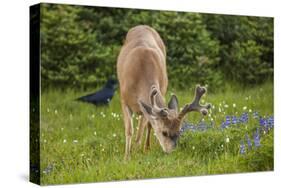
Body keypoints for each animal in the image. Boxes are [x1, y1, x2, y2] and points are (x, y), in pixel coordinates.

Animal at [116, 25, 210, 159]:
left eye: (179, 131)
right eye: (164, 132)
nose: (171, 152)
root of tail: (142, 26)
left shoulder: (148, 104)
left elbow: (142, 129)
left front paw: (137, 151)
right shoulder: (123, 99)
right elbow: (129, 130)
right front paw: (127, 157)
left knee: (147, 125)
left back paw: (146, 148)